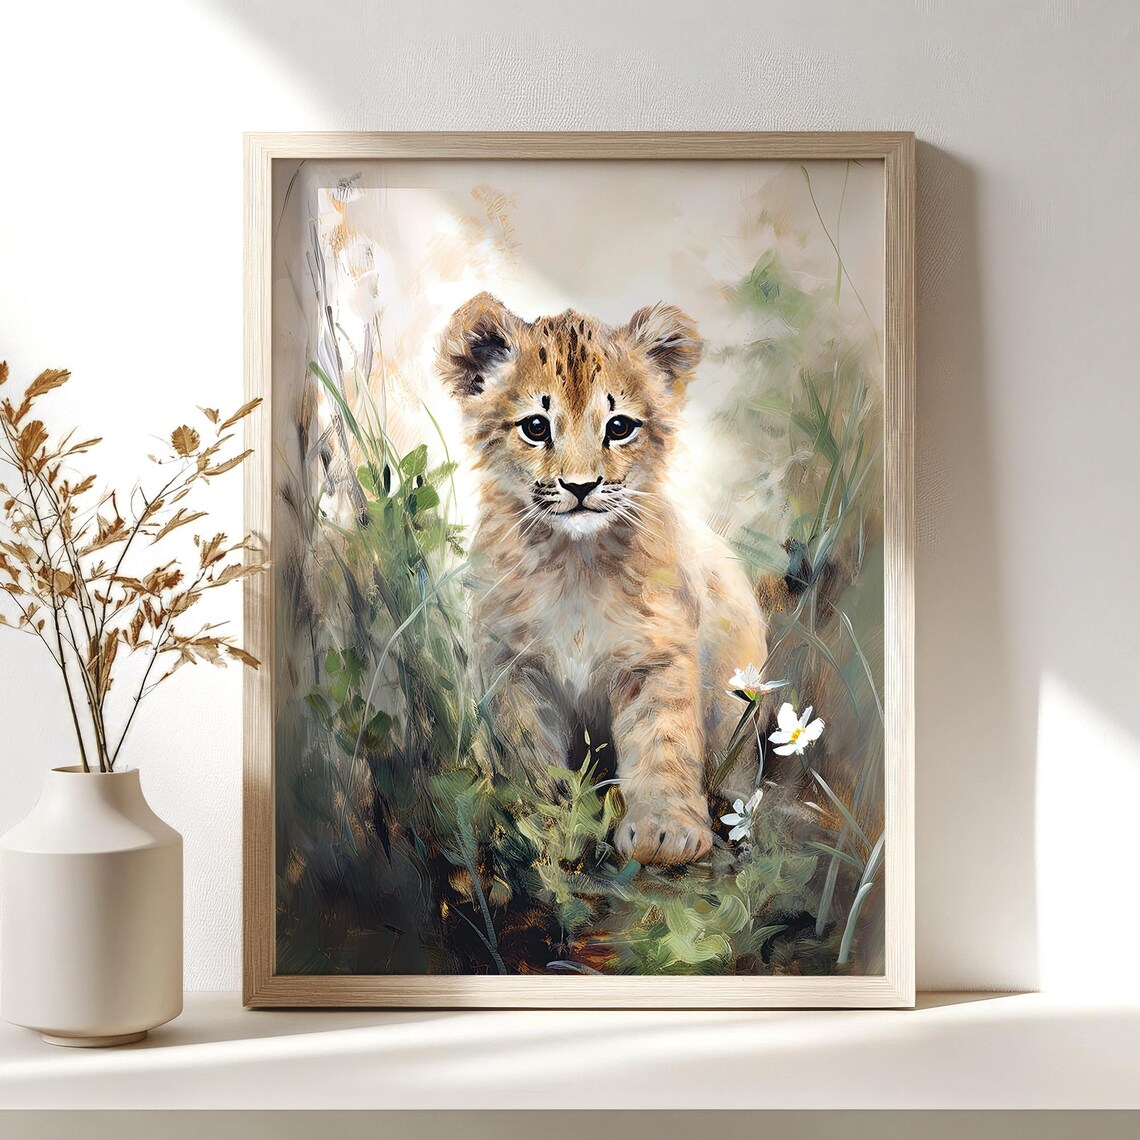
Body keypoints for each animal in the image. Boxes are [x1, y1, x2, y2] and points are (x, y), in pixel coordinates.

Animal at [438, 292, 768, 866]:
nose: (580, 486)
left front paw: (665, 831)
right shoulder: (513, 665)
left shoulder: (656, 656)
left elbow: (663, 741)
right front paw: (544, 818)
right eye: (536, 427)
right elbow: (528, 748)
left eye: (619, 427)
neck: (574, 561)